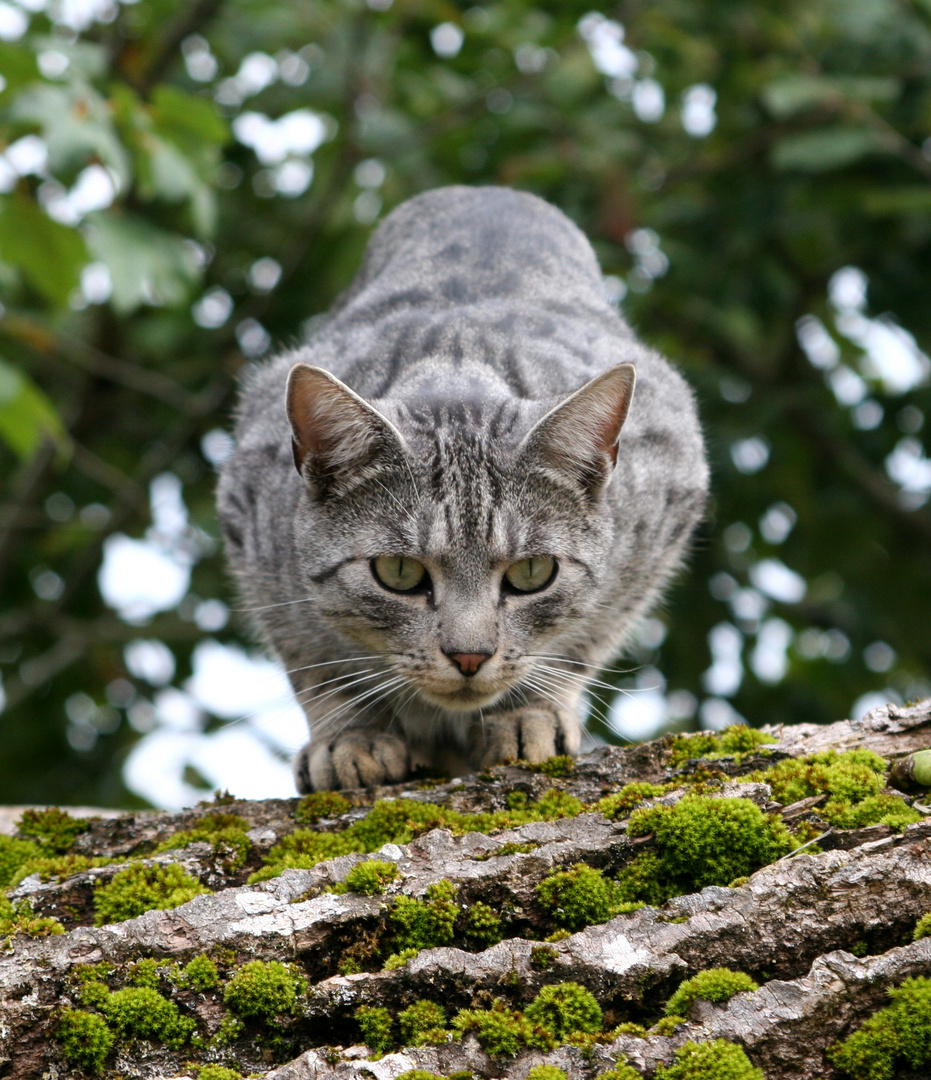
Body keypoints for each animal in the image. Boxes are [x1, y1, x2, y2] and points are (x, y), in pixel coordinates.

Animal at [217, 185, 708, 794]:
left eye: (533, 572)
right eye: (398, 573)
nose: (470, 657)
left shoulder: (662, 514)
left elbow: (580, 641)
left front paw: (531, 714)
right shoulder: (253, 531)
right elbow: (316, 665)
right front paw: (350, 736)